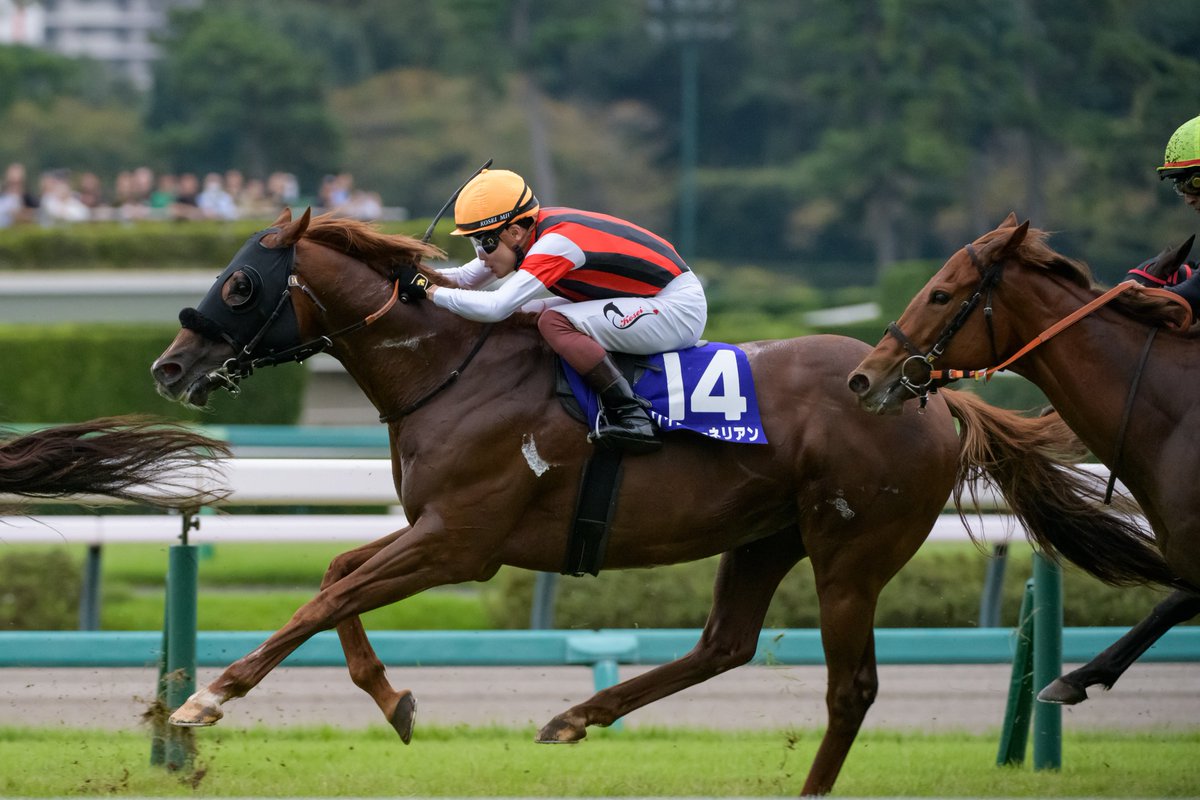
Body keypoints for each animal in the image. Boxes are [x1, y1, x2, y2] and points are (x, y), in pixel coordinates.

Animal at [150, 208, 1136, 796]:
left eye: (239, 284)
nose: (168, 366)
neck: (450, 370)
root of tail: (930, 396)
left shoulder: (461, 541)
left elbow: (327, 595)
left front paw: (205, 702)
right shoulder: (435, 532)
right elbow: (336, 576)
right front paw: (393, 700)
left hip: (851, 551)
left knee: (849, 686)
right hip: (767, 533)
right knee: (725, 643)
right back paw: (574, 717)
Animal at [847, 213, 1200, 709]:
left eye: (940, 294)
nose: (863, 377)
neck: (1177, 411)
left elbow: (1175, 600)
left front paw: (1075, 677)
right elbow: (1177, 598)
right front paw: (1076, 677)